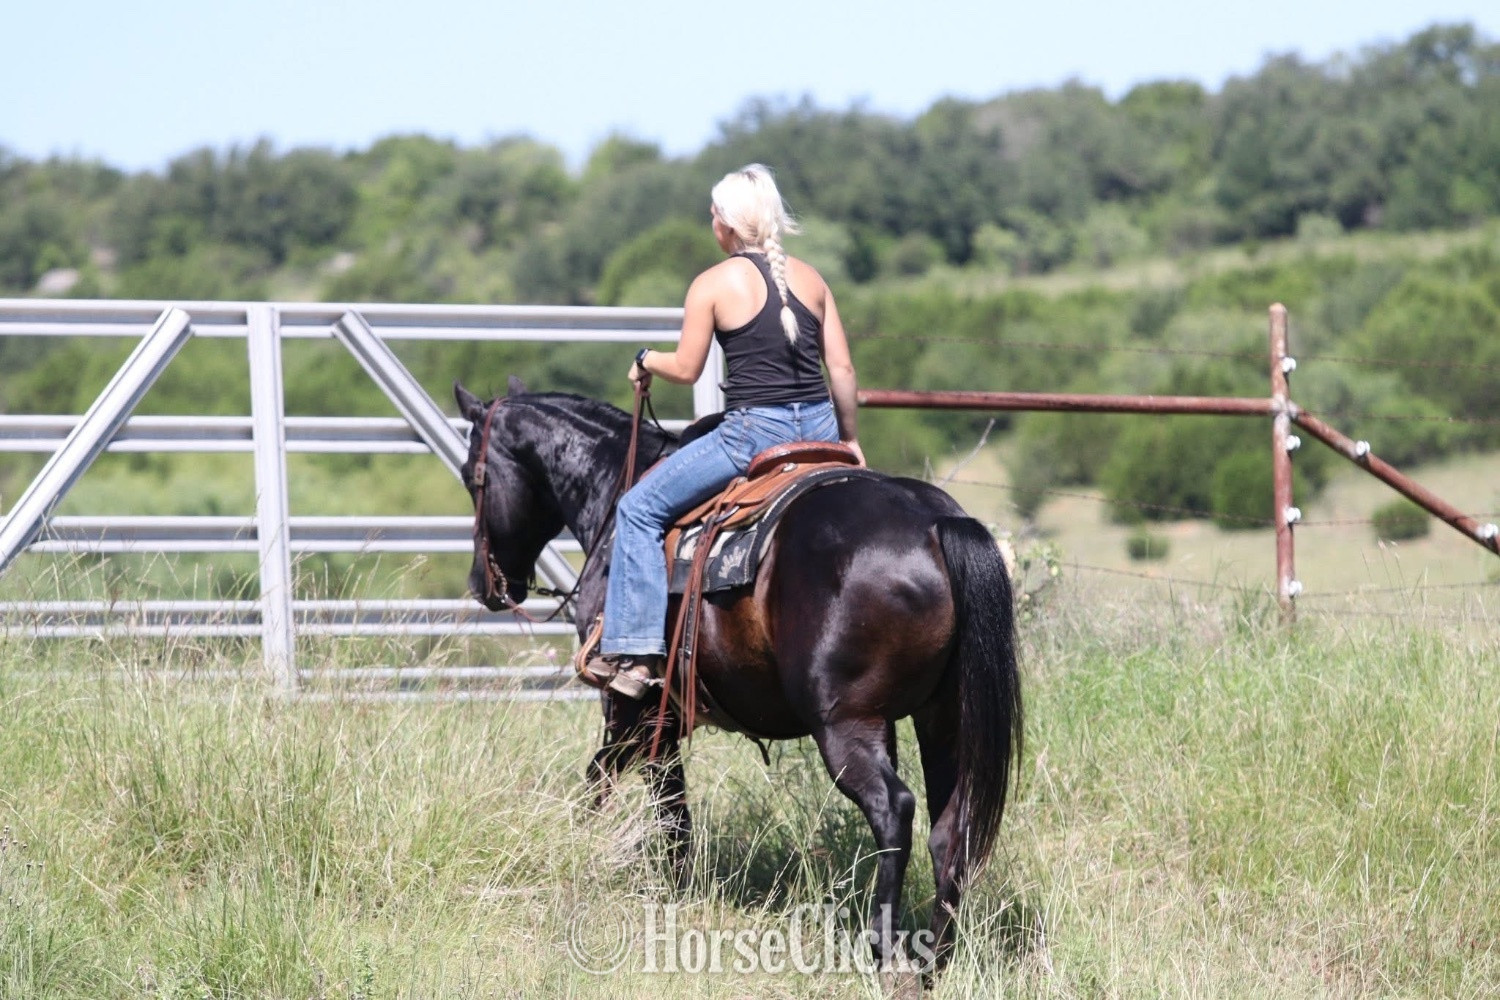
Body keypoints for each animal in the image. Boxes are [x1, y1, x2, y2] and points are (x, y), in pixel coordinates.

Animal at [453, 378, 1022, 971]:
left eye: (473, 475)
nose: (483, 585)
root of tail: (934, 525)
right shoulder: (666, 716)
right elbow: (662, 803)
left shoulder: (634, 706)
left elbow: (620, 788)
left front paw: (590, 852)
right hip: (941, 717)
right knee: (951, 827)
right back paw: (937, 959)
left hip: (845, 723)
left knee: (893, 810)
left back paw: (883, 947)